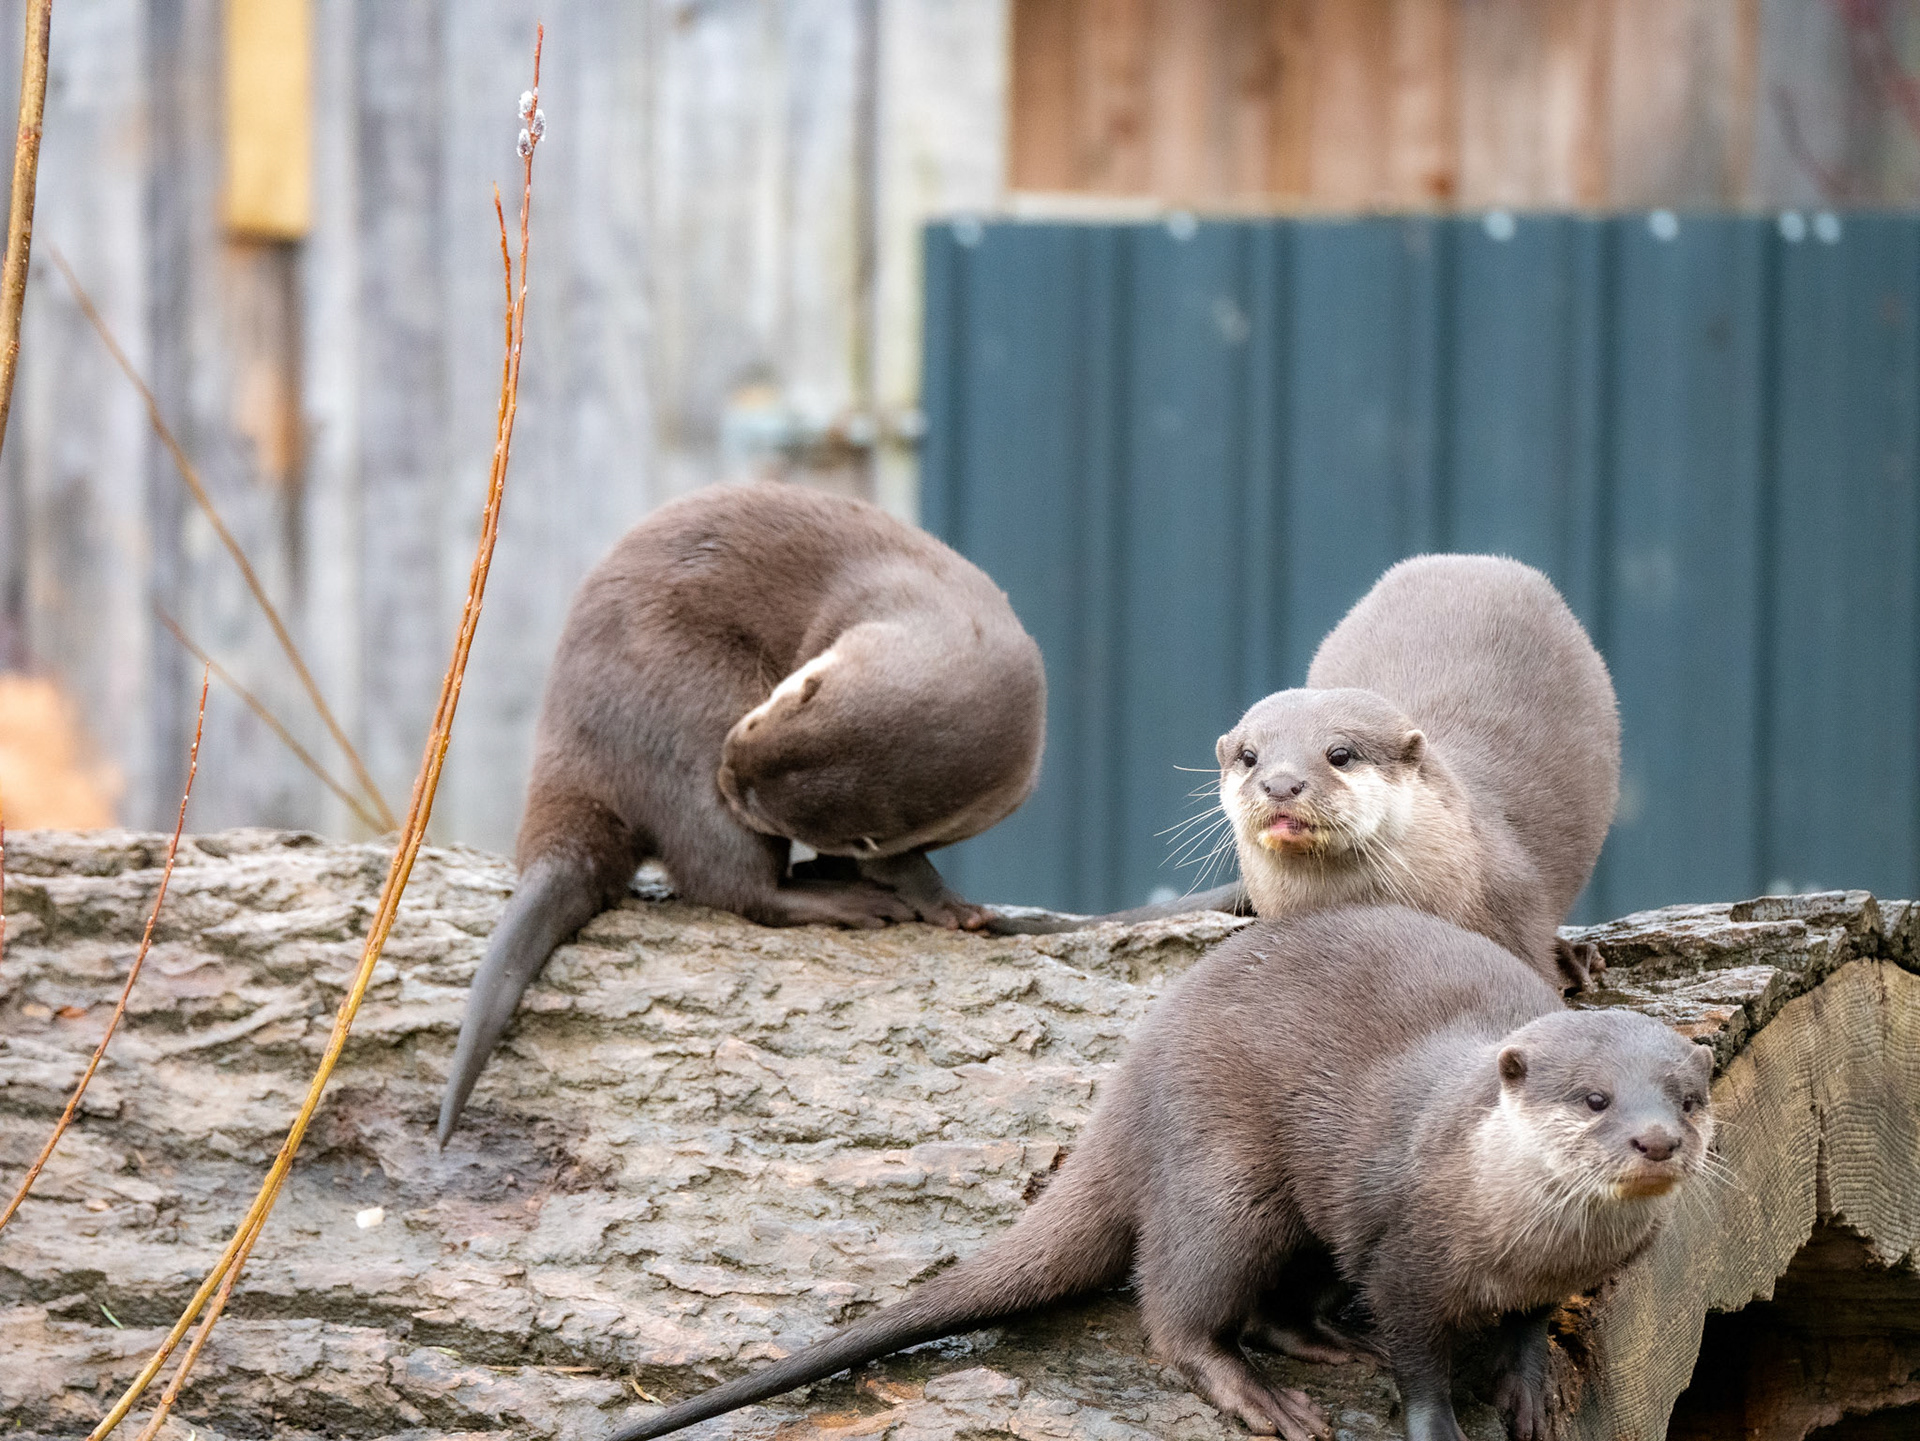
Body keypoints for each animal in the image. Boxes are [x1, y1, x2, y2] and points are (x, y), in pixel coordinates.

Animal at [438, 485, 1045, 1144]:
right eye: (771, 707)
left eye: (778, 814)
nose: (729, 775)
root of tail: (574, 752)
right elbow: (889, 863)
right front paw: (938, 900)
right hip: (679, 705)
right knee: (731, 886)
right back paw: (847, 902)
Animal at [602, 906, 1714, 1441]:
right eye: (1595, 1099)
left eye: (1689, 1095)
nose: (1658, 1141)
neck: (1511, 1232)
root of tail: (1134, 1073)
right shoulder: (1401, 1255)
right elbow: (1416, 1361)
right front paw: (1437, 1424)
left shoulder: (1550, 1279)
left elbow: (1529, 1327)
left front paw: (1527, 1386)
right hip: (1224, 1179)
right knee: (1174, 1306)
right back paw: (1259, 1393)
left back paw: (1315, 1339)